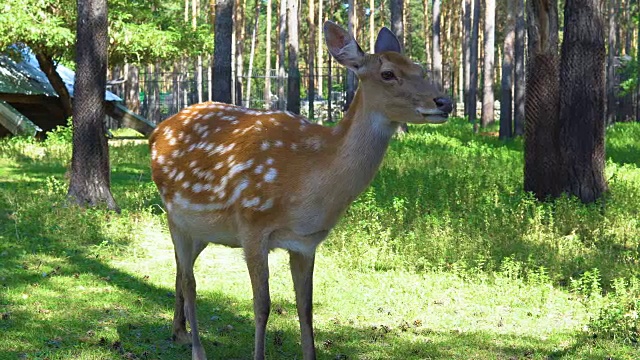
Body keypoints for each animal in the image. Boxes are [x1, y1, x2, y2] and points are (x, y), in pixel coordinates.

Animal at [149, 21, 452, 360]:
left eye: (420, 69)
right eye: (387, 73)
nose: (445, 102)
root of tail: (156, 130)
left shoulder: (307, 242)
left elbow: (305, 309)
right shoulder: (251, 226)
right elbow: (262, 306)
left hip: (203, 230)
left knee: (180, 270)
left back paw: (179, 333)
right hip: (174, 215)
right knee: (190, 280)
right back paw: (197, 348)